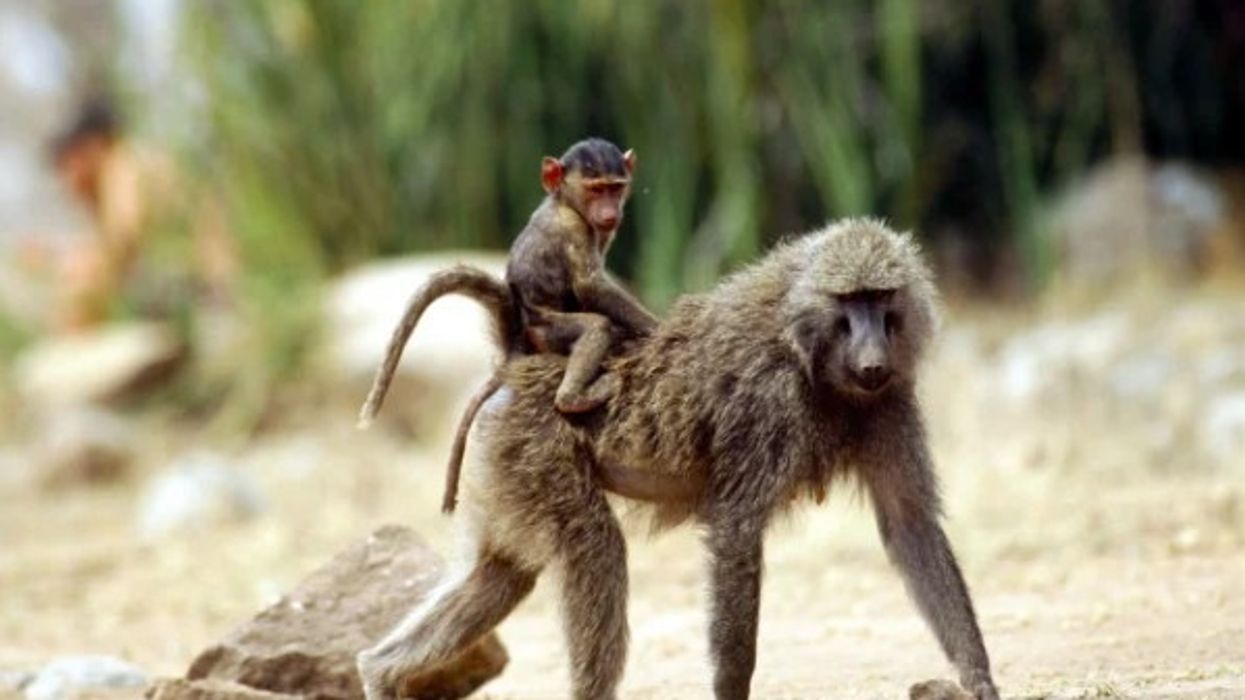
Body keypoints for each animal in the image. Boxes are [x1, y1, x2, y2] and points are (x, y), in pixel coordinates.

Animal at [356, 219, 1000, 700]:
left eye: (881, 299)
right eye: (849, 302)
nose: (872, 360)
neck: (809, 350)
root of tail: (522, 363)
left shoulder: (889, 400)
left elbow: (910, 525)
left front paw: (980, 682)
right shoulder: (767, 404)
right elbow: (737, 533)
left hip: (506, 465)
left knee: (501, 575)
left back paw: (379, 672)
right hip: (538, 453)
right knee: (597, 553)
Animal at [357, 138, 658, 512]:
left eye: (615, 188)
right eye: (595, 189)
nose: (609, 212)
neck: (563, 202)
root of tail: (519, 343)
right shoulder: (573, 228)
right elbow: (591, 288)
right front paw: (656, 326)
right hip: (548, 331)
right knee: (595, 328)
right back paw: (573, 397)